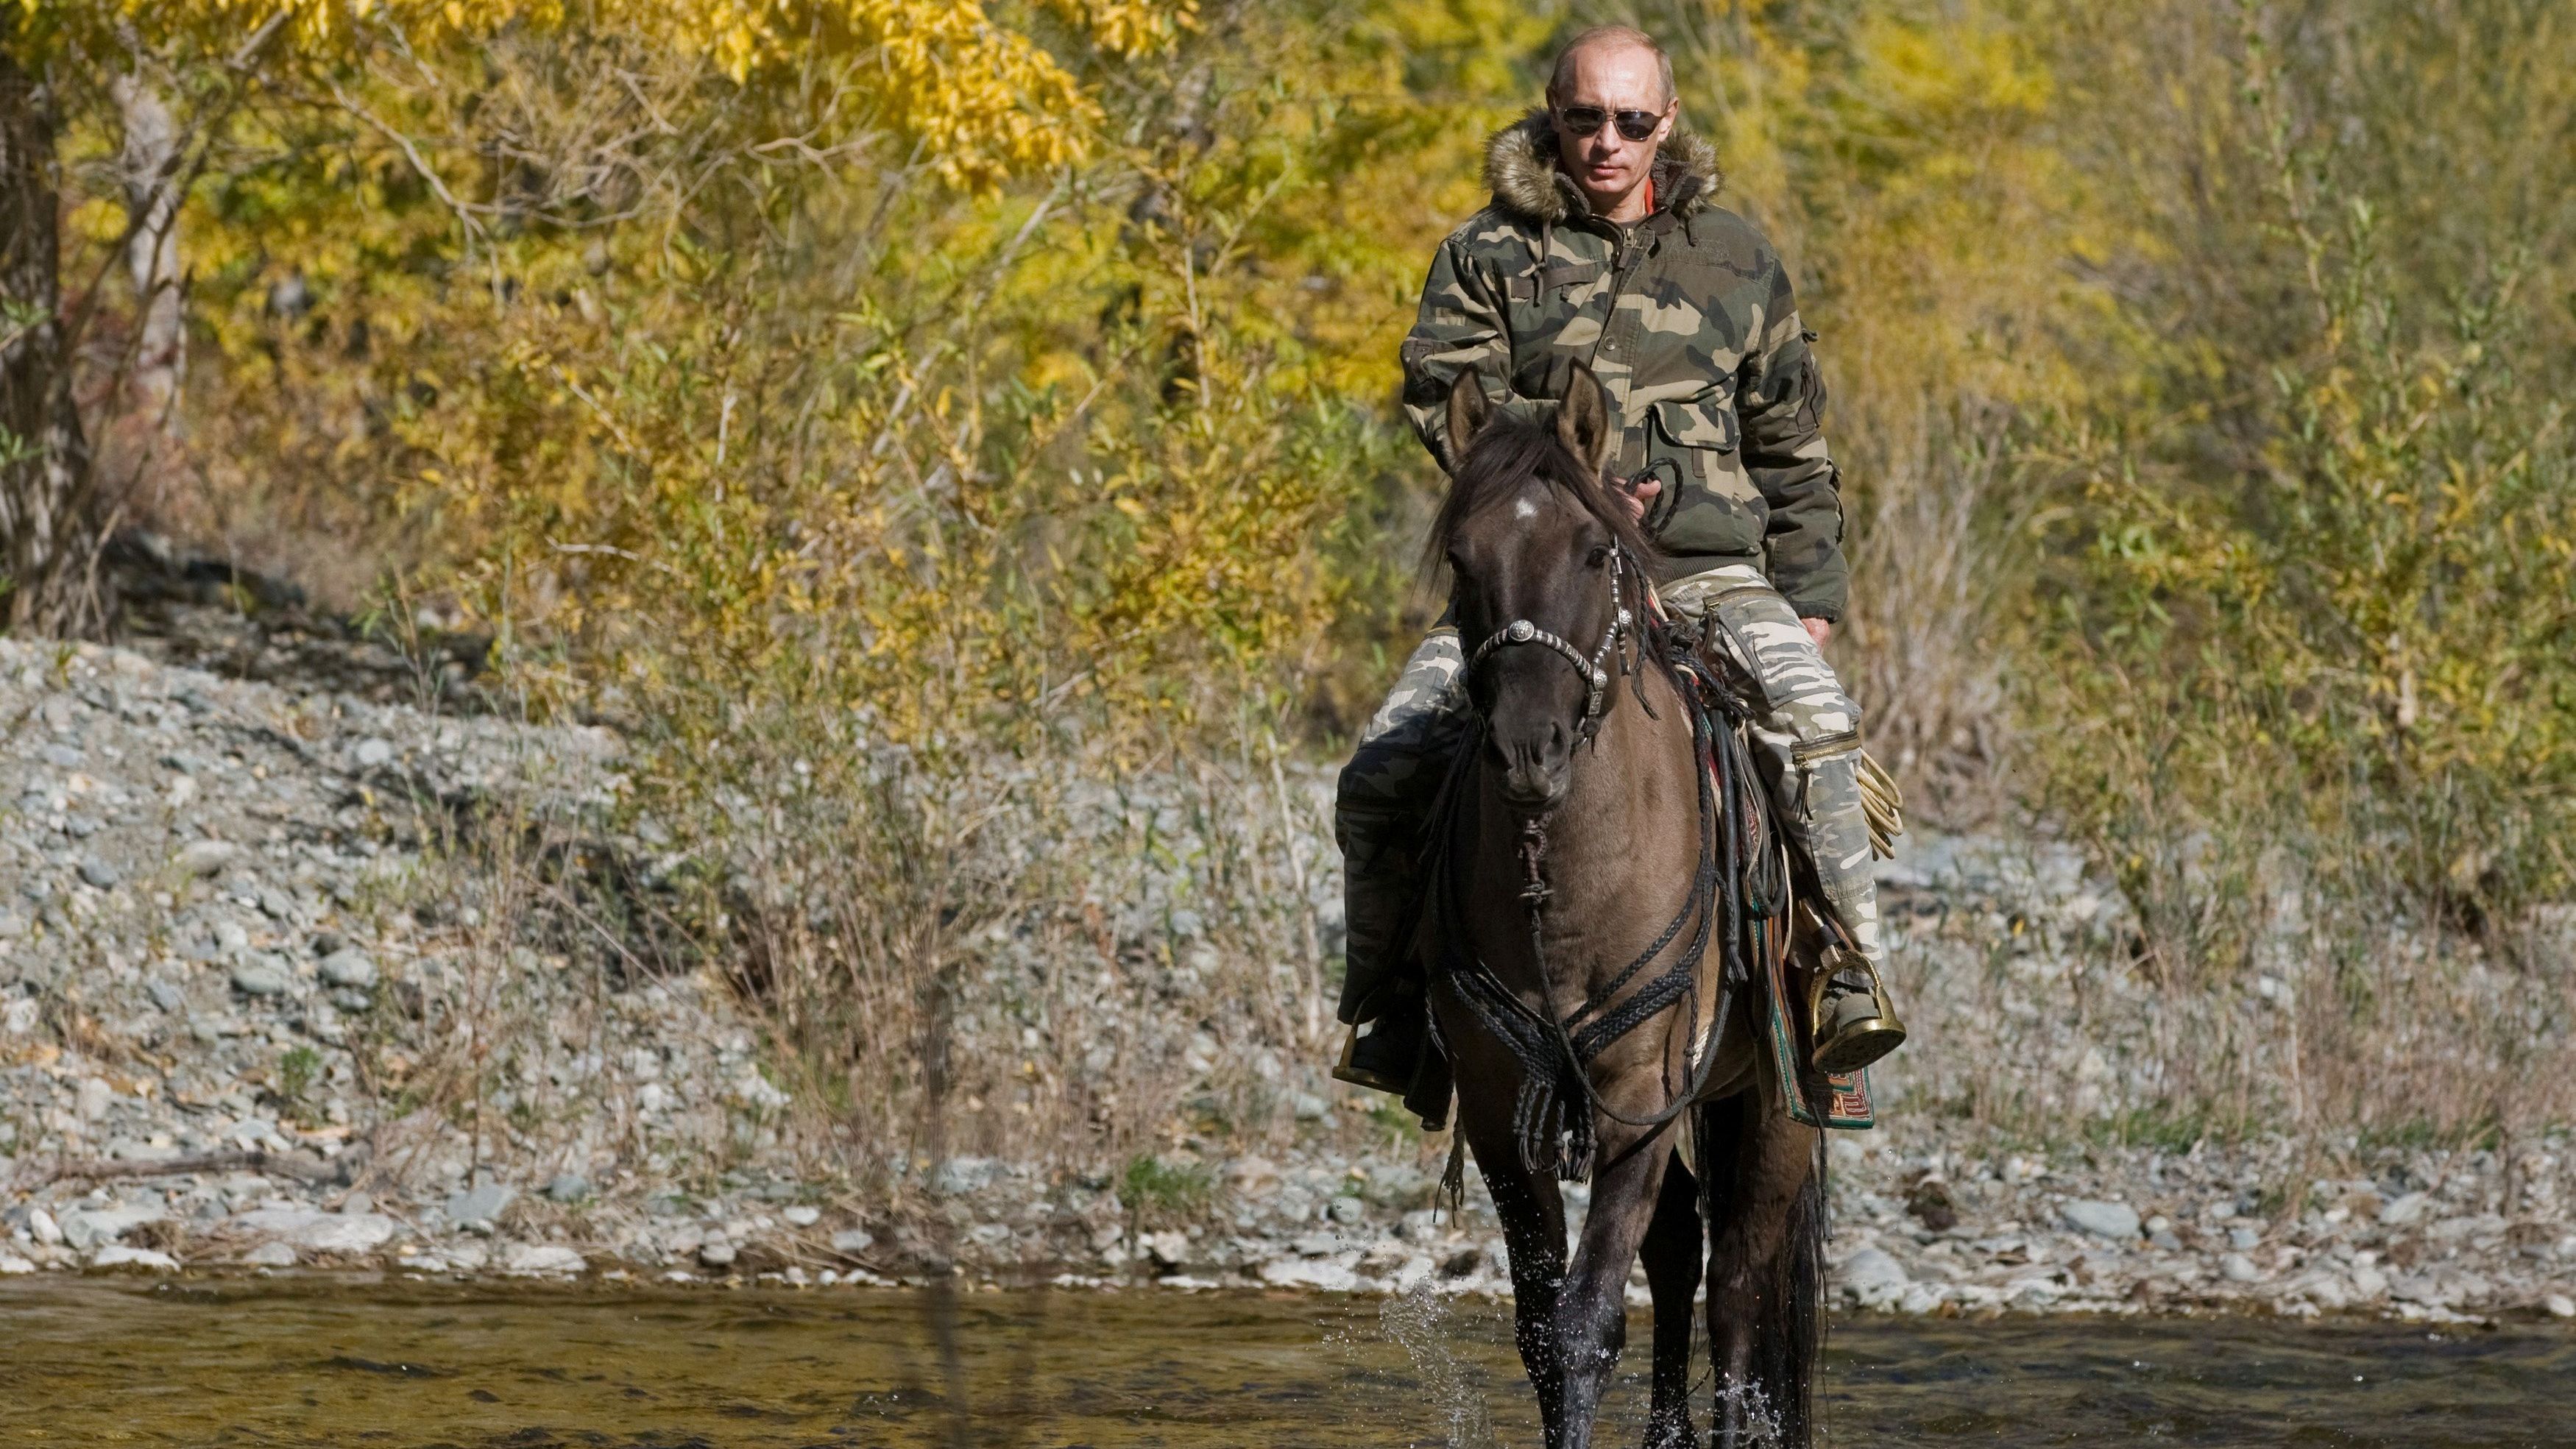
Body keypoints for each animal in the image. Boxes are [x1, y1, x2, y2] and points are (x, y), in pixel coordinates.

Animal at [1432, 365, 1834, 1449]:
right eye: (1462, 556)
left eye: (1594, 549)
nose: (1529, 748)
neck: (1563, 888)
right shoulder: (1500, 1109)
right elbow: (1540, 1324)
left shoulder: (1643, 1094)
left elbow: (1587, 1321)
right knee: (1684, 1246)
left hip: (1777, 1101)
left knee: (1738, 1279)